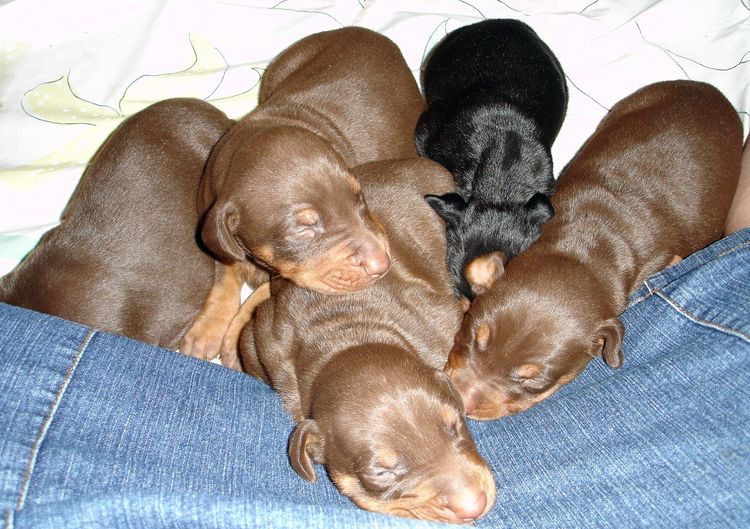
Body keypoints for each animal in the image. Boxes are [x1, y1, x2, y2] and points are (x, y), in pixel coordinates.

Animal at [181, 26, 426, 360]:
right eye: (304, 229)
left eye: (360, 198)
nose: (382, 264)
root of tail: (372, 35)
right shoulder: (212, 216)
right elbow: (225, 271)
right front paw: (206, 329)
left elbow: (265, 290)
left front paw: (234, 338)